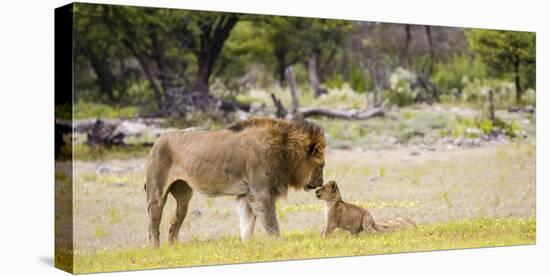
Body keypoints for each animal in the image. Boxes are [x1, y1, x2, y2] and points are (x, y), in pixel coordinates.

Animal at [147, 117, 328, 247]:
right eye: (322, 165)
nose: (320, 182)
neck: (285, 152)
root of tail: (157, 141)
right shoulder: (261, 193)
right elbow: (271, 222)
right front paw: (278, 243)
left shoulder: (246, 195)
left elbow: (247, 224)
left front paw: (246, 245)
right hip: (157, 191)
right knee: (153, 221)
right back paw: (155, 248)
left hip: (184, 194)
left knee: (175, 220)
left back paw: (174, 247)